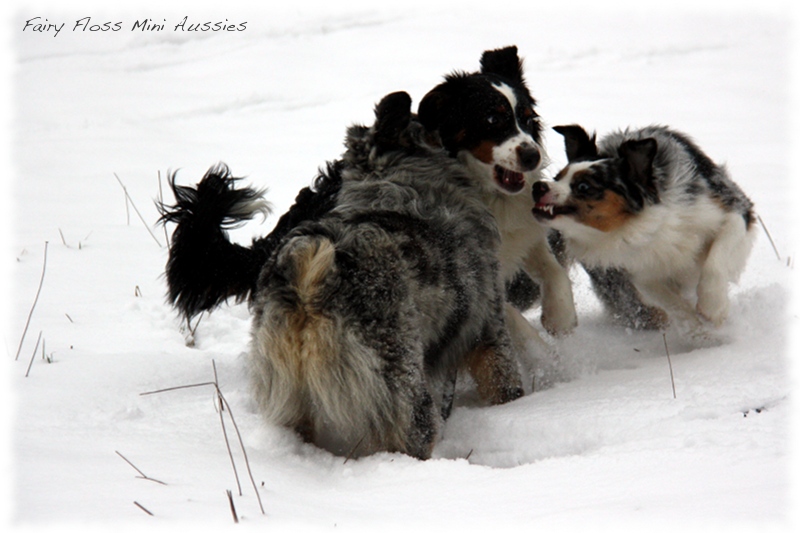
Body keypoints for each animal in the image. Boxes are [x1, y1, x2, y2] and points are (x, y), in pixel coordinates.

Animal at [162, 91, 524, 458]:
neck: (403, 185)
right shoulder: (489, 325)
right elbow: (504, 380)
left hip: (287, 390)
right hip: (402, 390)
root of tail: (310, 274)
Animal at [532, 125, 756, 336]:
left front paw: (713, 308)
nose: (537, 187)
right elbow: (674, 306)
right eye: (557, 177)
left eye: (583, 186)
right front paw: (700, 333)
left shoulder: (733, 209)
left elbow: (717, 259)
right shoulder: (640, 271)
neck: (643, 225)